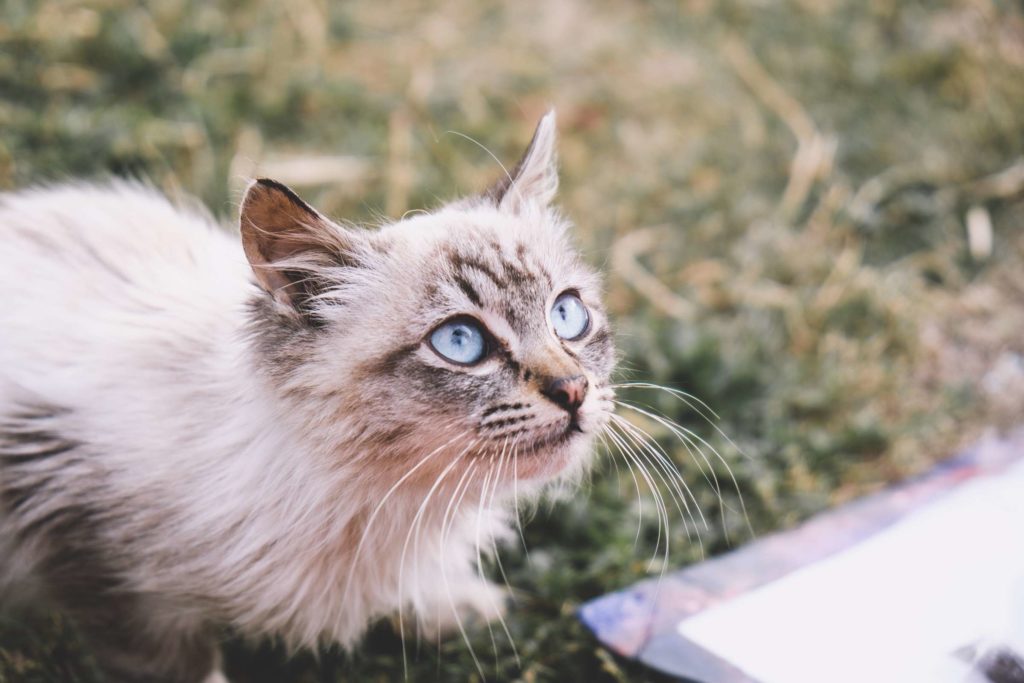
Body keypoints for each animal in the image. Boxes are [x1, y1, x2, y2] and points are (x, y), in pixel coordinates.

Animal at [0, 113, 614, 683]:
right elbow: (182, 665)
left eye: (567, 314)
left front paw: (456, 607)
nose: (573, 389)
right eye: (460, 341)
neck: (383, 502)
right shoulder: (114, 581)